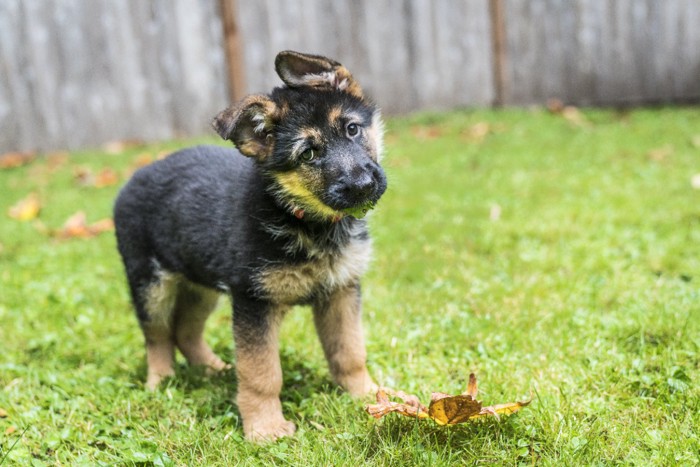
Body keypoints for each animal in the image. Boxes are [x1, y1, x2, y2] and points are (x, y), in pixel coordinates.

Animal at [115, 51, 388, 442]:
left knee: (185, 330)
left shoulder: (341, 290)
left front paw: (369, 397)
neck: (305, 218)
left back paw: (212, 369)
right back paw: (161, 384)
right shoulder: (253, 302)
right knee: (158, 335)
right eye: (308, 154)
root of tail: (136, 175)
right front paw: (265, 428)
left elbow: (350, 353)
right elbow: (262, 373)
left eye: (352, 129)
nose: (363, 186)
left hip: (200, 285)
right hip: (151, 284)